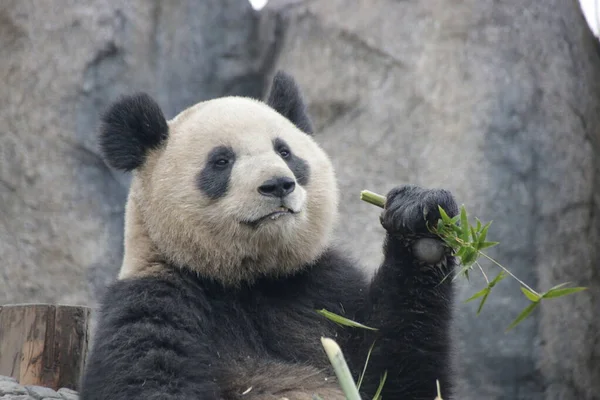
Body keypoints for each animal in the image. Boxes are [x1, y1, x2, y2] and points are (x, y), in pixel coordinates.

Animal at [79, 71, 460, 400]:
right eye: (221, 161)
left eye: (285, 151)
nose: (278, 184)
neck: (252, 278)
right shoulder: (154, 301)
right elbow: (149, 379)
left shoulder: (325, 291)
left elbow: (397, 374)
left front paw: (421, 223)